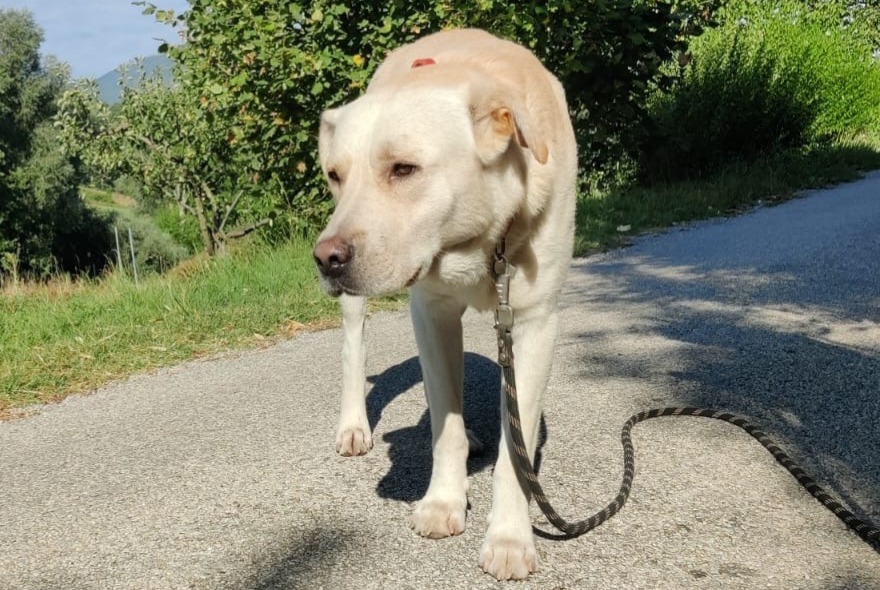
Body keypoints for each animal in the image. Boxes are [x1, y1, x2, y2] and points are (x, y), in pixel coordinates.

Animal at [312, 30, 576, 580]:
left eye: (404, 168)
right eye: (335, 175)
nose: (325, 259)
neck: (481, 239)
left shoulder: (536, 323)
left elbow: (515, 447)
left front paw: (509, 537)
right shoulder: (429, 313)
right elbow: (443, 424)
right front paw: (442, 503)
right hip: (358, 299)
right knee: (356, 350)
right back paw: (354, 425)